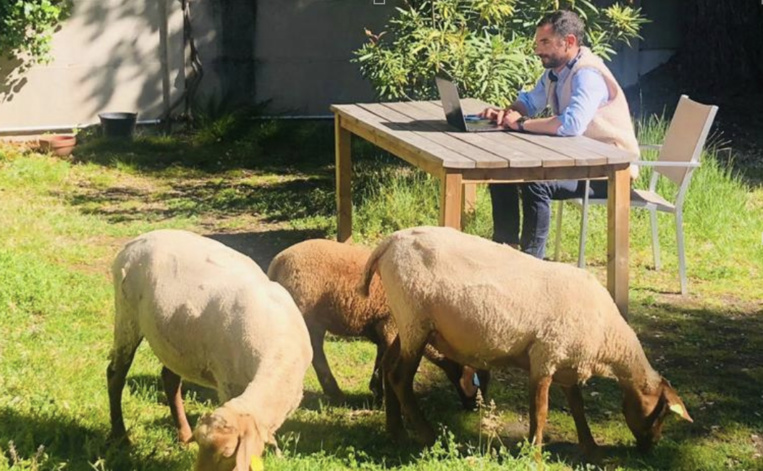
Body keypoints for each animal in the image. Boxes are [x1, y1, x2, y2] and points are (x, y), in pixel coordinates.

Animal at [107, 229, 312, 471]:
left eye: (227, 454)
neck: (279, 352)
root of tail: (135, 241)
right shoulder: (228, 385)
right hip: (126, 313)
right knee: (115, 373)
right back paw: (120, 437)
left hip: (175, 340)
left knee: (169, 379)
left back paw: (182, 436)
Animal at [267, 238, 488, 409]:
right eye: (476, 380)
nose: (477, 407)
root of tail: (278, 262)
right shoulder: (390, 327)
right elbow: (386, 363)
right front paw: (383, 400)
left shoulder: (382, 330)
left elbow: (380, 359)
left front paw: (376, 392)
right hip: (307, 315)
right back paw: (333, 393)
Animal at [358, 226, 692, 455]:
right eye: (661, 413)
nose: (650, 448)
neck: (608, 340)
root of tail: (391, 242)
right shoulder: (546, 356)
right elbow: (540, 411)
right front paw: (535, 452)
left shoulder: (567, 361)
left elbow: (577, 406)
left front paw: (590, 447)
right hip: (415, 320)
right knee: (400, 377)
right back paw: (426, 435)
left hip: (408, 321)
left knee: (387, 366)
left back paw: (396, 432)